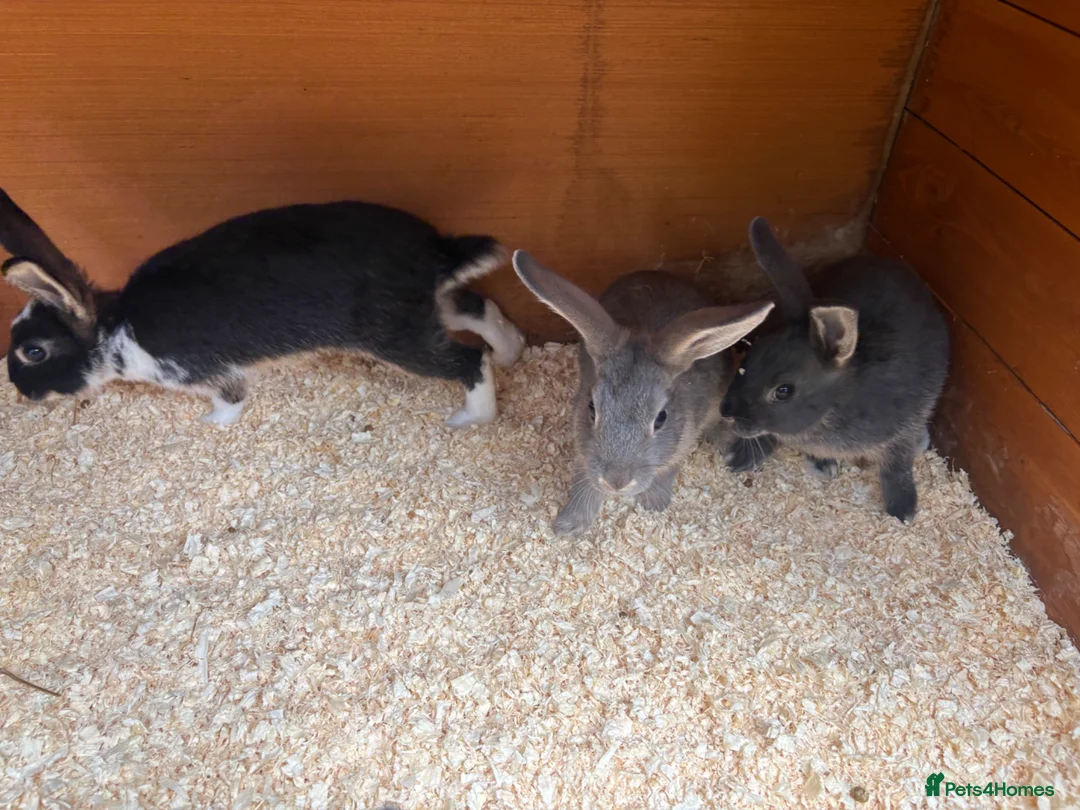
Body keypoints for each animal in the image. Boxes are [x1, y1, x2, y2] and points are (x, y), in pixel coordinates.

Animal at [0, 189, 525, 427]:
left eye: (34, 352)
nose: (22, 392)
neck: (115, 330)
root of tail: (434, 253)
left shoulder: (210, 373)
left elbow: (231, 400)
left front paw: (211, 424)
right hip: (426, 310)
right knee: (478, 308)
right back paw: (513, 351)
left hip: (398, 338)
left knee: (467, 359)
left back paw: (472, 418)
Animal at [512, 250, 774, 536]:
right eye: (591, 408)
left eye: (661, 418)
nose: (616, 482)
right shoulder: (584, 449)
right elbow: (584, 480)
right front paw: (569, 526)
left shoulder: (682, 442)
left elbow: (667, 469)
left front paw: (653, 504)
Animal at [719, 216, 949, 522]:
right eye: (747, 361)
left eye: (784, 391)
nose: (726, 412)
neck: (833, 408)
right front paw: (740, 458)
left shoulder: (905, 427)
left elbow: (897, 466)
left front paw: (903, 509)